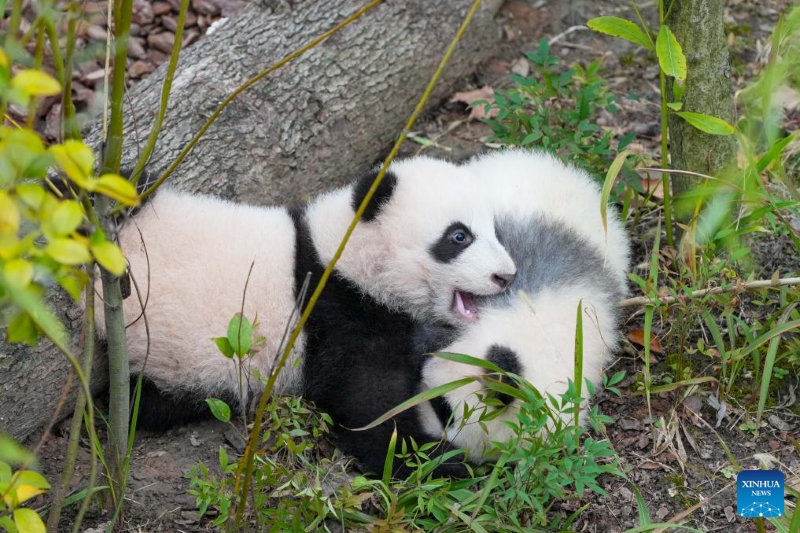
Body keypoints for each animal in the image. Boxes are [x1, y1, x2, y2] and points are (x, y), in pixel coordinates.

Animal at [95, 156, 517, 434]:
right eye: (459, 236)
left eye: (495, 231)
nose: (506, 276)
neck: (345, 255)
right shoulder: (338, 311)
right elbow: (370, 404)